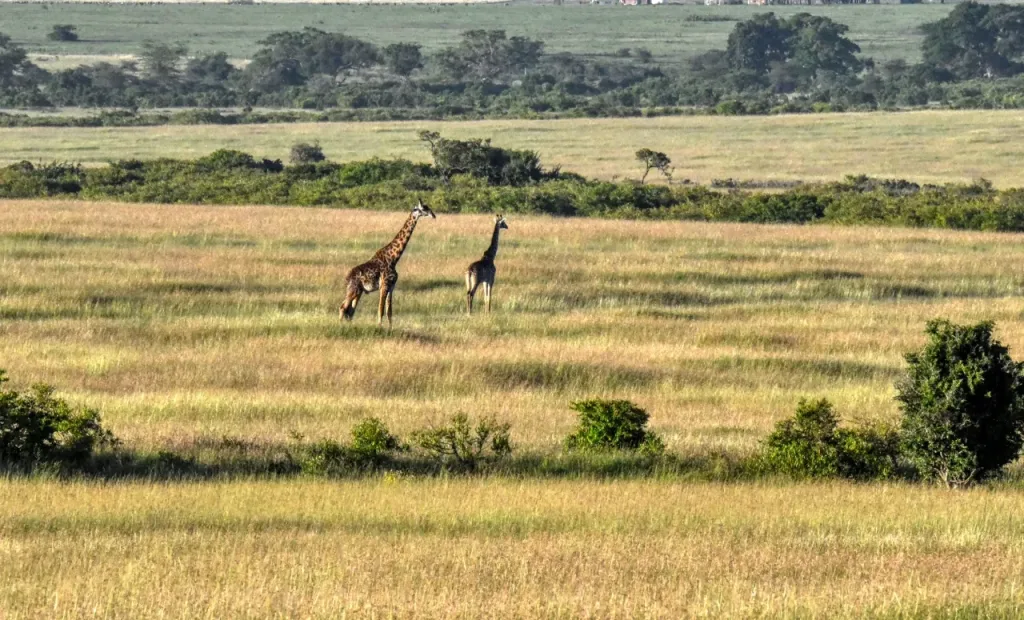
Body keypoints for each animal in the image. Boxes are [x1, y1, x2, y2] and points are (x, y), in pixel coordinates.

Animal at [335, 200, 432, 332]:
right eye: (424, 208)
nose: (433, 215)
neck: (393, 258)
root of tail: (347, 277)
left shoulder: (391, 286)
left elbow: (389, 311)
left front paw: (390, 329)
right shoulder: (384, 285)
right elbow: (380, 309)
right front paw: (379, 328)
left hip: (359, 291)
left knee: (350, 311)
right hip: (353, 289)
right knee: (342, 307)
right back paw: (341, 327)